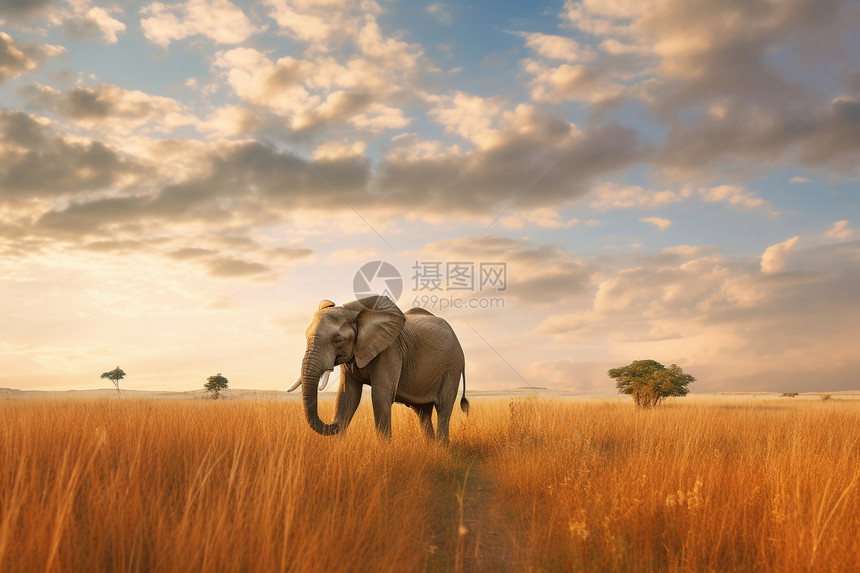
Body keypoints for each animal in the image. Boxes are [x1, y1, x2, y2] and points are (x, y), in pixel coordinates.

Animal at [288, 294, 466, 442]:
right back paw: (430, 447)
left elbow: (380, 396)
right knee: (422, 412)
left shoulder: (390, 350)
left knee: (443, 407)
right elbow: (347, 397)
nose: (334, 423)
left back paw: (441, 447)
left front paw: (384, 450)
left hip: (452, 366)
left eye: (337, 340)